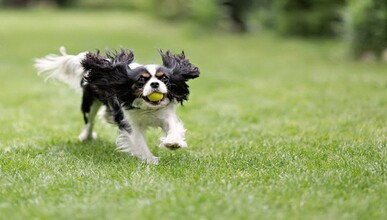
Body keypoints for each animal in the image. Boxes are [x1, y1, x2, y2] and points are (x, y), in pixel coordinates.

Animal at [34, 46, 202, 163]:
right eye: (141, 80)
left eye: (165, 79)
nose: (155, 84)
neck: (147, 108)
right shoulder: (130, 124)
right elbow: (139, 142)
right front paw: (150, 160)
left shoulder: (166, 114)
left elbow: (173, 127)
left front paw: (173, 143)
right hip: (89, 105)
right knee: (90, 122)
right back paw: (86, 136)